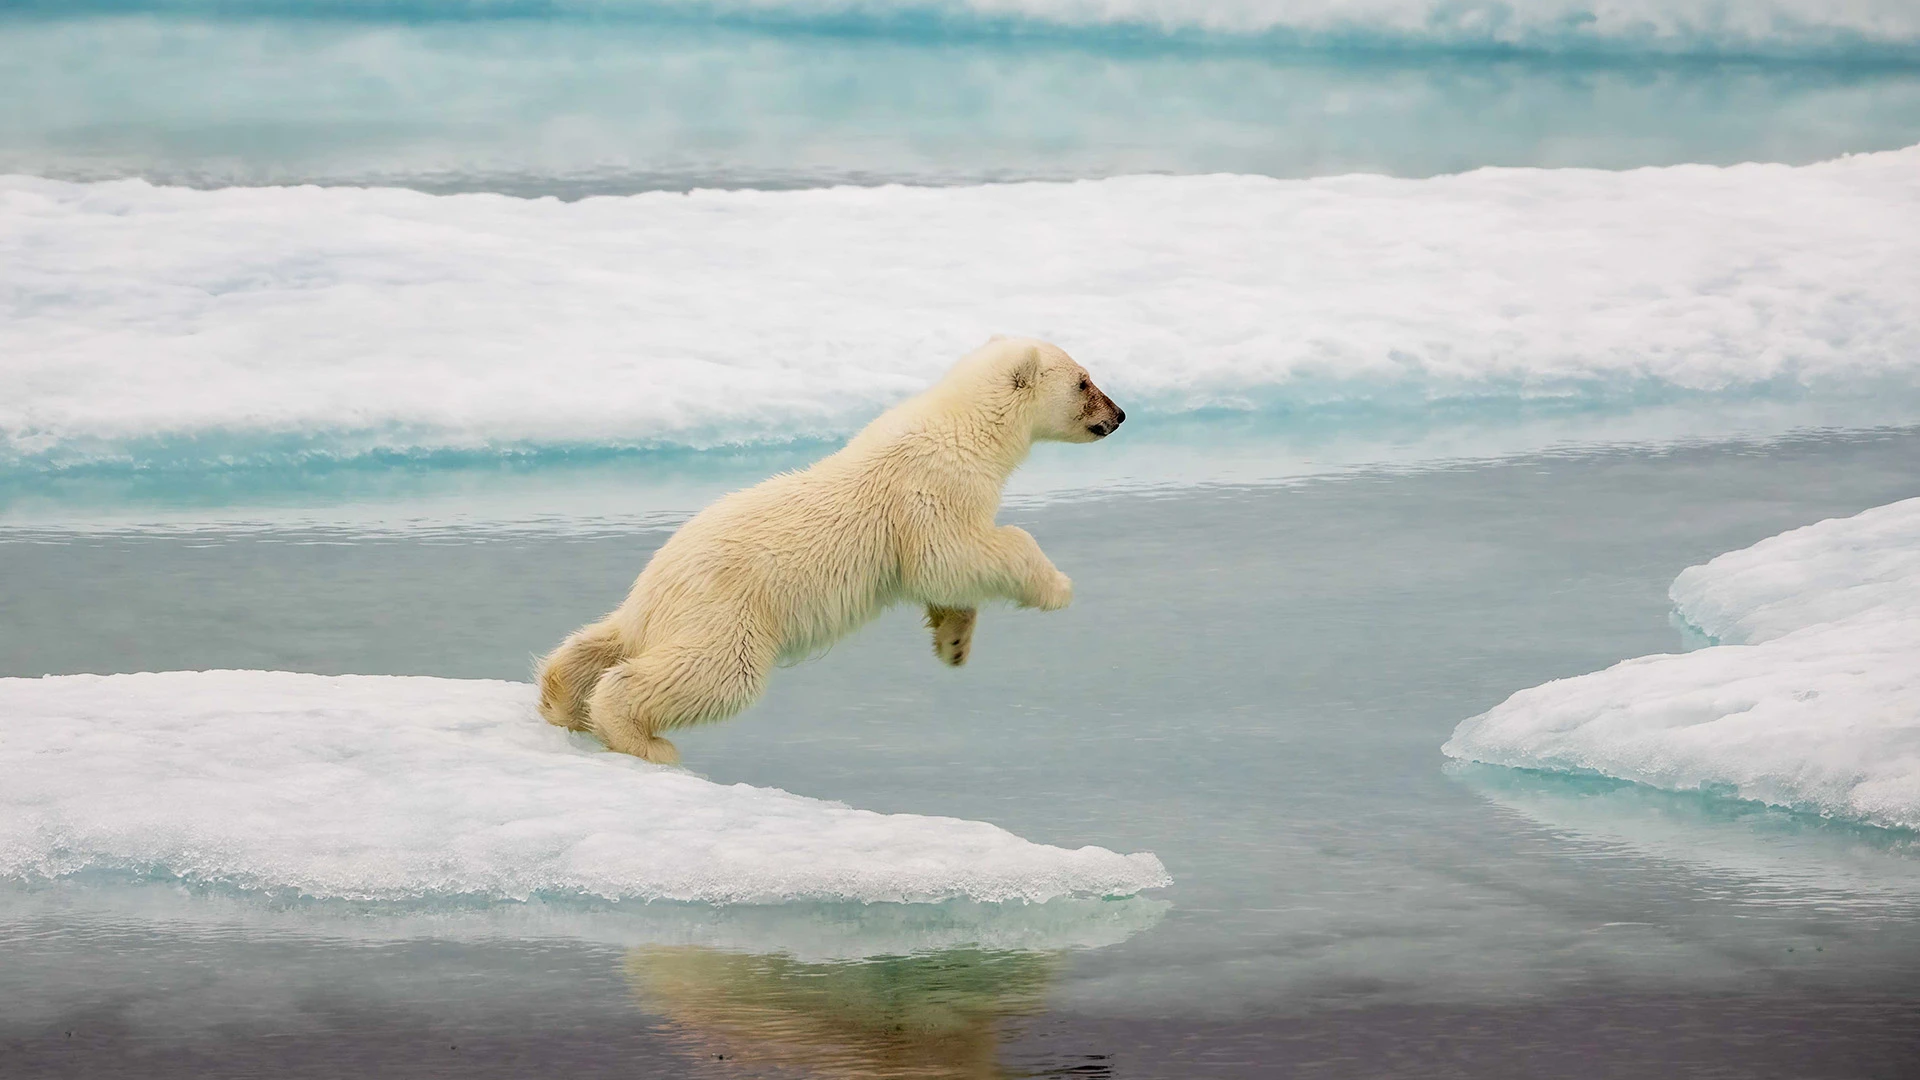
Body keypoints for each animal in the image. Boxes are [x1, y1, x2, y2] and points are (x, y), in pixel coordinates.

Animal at [535, 337, 1126, 763]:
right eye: (1084, 381)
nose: (1119, 414)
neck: (966, 426)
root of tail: (655, 587)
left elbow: (945, 576)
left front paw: (954, 643)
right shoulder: (930, 486)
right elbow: (951, 554)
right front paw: (1057, 587)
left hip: (665, 610)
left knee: (600, 642)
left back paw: (561, 698)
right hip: (730, 611)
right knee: (712, 673)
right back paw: (644, 740)